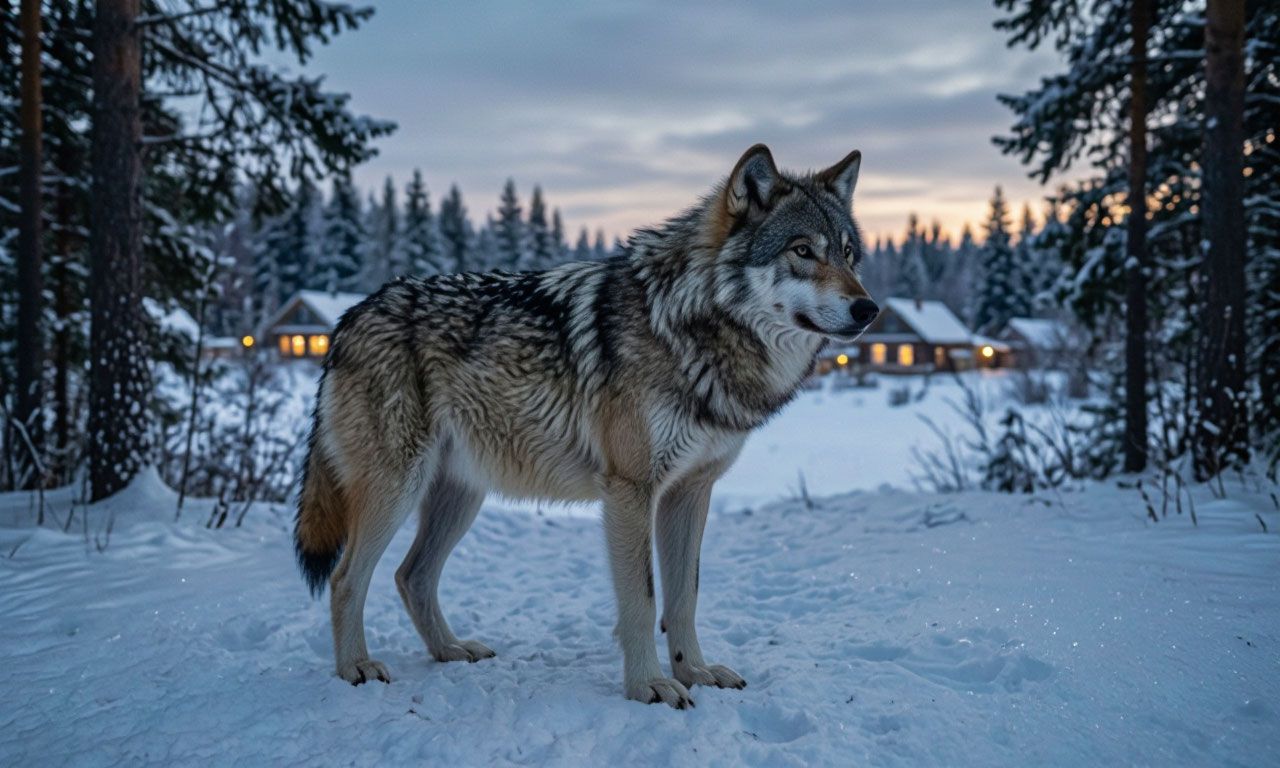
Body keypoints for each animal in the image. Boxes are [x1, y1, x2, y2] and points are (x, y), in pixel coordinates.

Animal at [293, 144, 878, 708]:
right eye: (802, 251)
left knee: (410, 576)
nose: (868, 308)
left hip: (460, 495)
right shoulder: (630, 491)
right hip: (398, 489)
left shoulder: (690, 492)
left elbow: (684, 597)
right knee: (347, 579)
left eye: (849, 254)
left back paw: (451, 650)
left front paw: (695, 673)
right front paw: (650, 687)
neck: (688, 327)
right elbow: (643, 599)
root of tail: (348, 318)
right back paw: (356, 668)